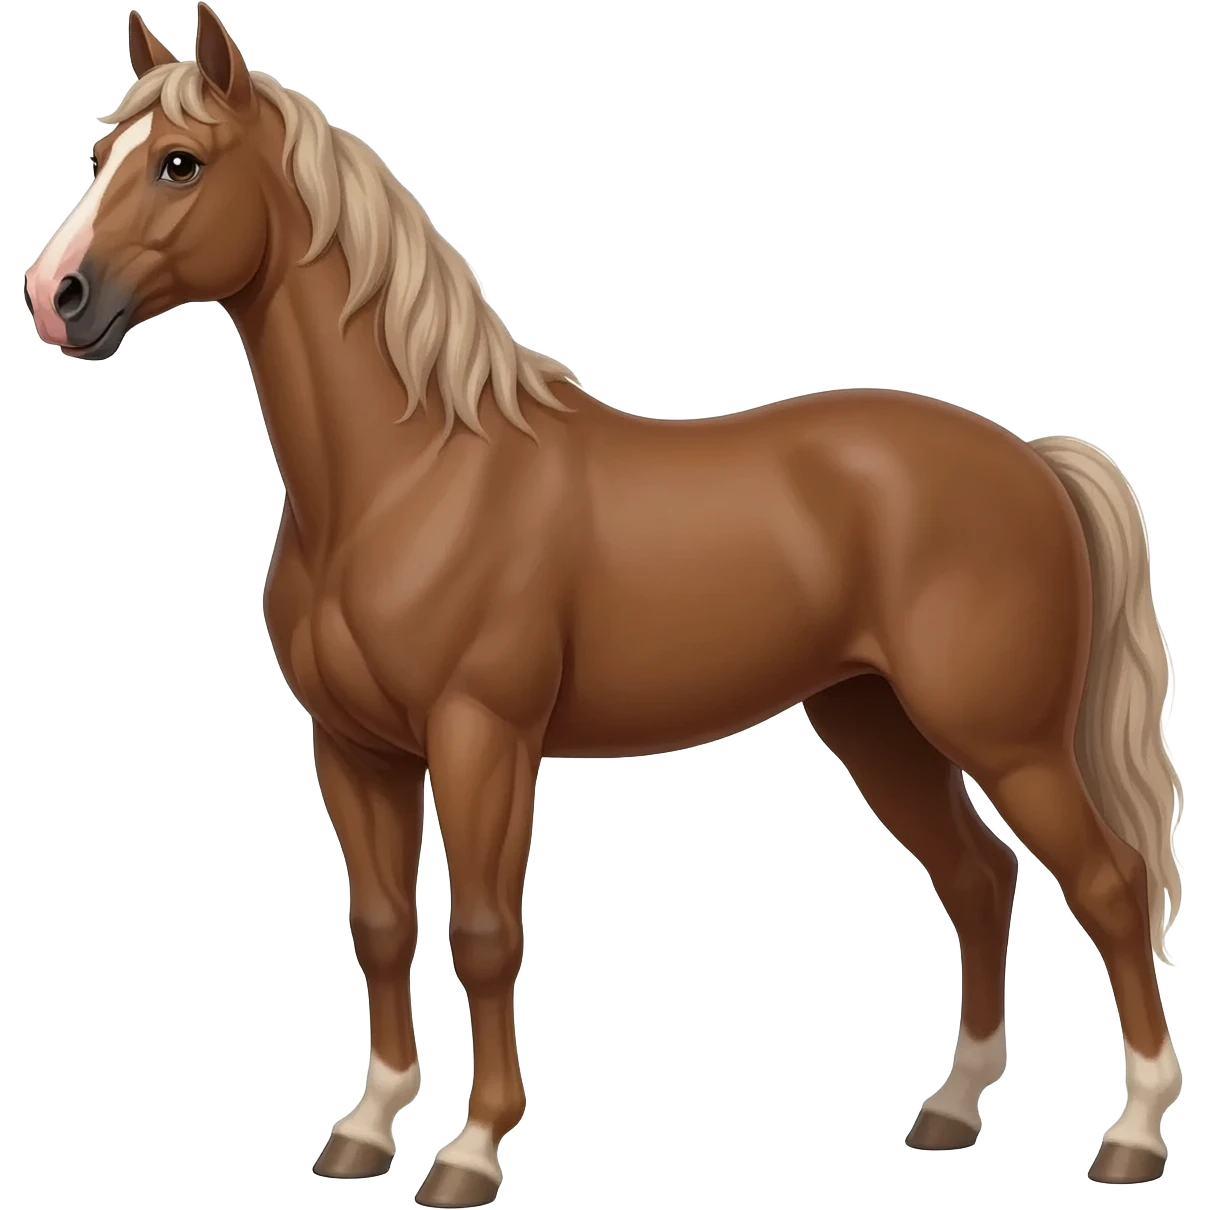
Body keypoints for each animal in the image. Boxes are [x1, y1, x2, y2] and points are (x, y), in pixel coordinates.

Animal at [22, 5, 1185, 1201]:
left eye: (179, 162)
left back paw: (1133, 1134)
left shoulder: (482, 737)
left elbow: (487, 933)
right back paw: (952, 1108)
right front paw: (367, 1126)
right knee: (979, 878)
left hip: (1004, 737)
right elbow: (381, 925)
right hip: (879, 724)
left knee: (1108, 882)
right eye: (99, 152)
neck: (407, 477)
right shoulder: (353, 749)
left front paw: (471, 1149)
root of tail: (1031, 460)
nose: (53, 295)